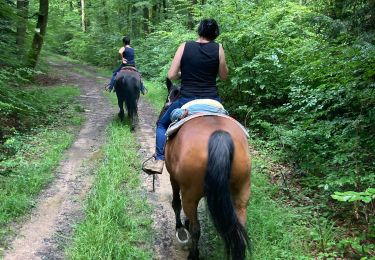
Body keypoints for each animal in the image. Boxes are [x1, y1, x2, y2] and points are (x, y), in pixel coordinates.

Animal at [164, 79, 253, 260]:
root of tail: (220, 135)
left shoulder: (173, 179)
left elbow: (176, 204)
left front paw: (180, 228)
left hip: (190, 194)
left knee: (196, 229)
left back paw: (193, 254)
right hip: (242, 191)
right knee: (239, 230)